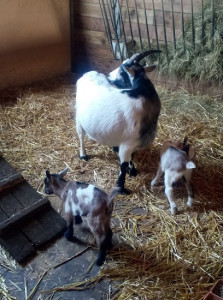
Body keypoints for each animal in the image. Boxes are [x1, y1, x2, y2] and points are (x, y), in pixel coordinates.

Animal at [76, 49, 161, 195]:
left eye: (122, 71)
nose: (109, 76)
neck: (144, 96)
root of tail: (88, 73)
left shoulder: (133, 142)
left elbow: (132, 156)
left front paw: (133, 171)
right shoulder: (128, 143)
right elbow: (123, 165)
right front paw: (121, 188)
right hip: (78, 117)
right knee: (81, 135)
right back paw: (83, 155)